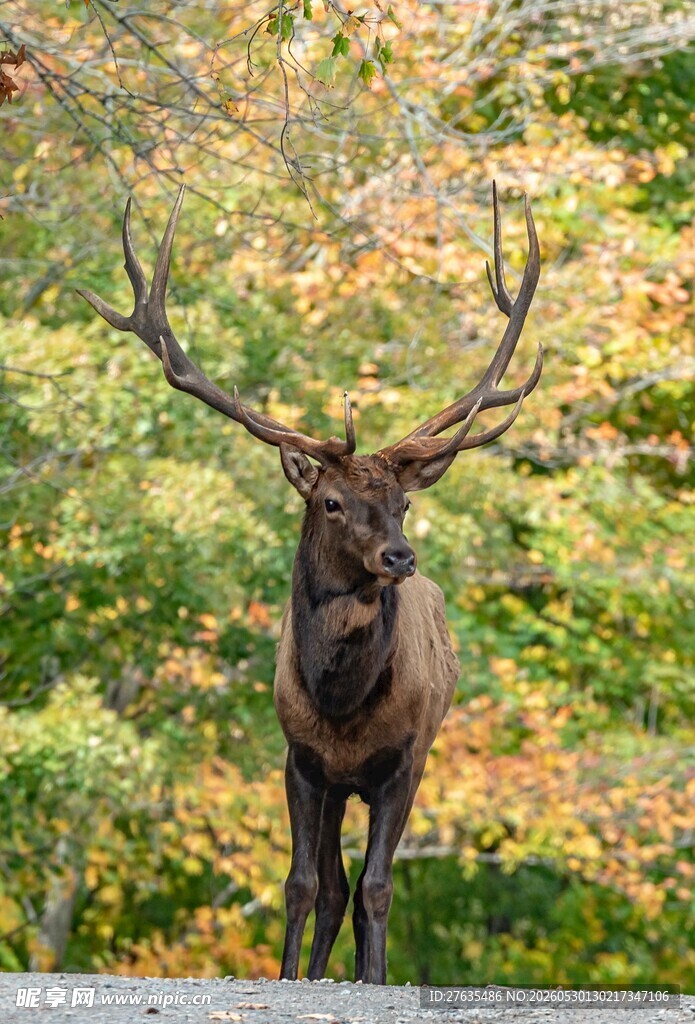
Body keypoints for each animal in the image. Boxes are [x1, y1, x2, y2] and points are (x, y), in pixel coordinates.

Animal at [78, 182, 541, 985]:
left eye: (403, 501)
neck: (342, 702)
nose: (399, 557)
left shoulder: (404, 761)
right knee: (328, 888)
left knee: (356, 888)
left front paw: (373, 980)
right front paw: (291, 975)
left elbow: (378, 888)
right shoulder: (300, 760)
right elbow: (300, 885)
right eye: (330, 500)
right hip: (331, 787)